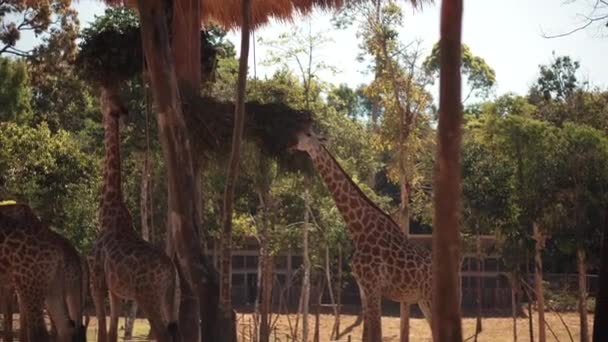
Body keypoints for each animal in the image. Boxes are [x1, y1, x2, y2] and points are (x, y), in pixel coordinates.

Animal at [89, 87, 180, 342]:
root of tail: (171, 273)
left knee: (163, 334)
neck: (108, 212)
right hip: (169, 300)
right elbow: (111, 332)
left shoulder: (96, 280)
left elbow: (102, 332)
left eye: (105, 95)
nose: (98, 97)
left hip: (148, 297)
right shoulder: (115, 289)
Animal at [288, 127, 432, 342]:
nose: (291, 141)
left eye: (308, 135)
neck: (360, 229)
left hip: (431, 297)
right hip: (423, 299)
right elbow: (367, 335)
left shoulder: (373, 287)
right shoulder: (363, 288)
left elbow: (377, 334)